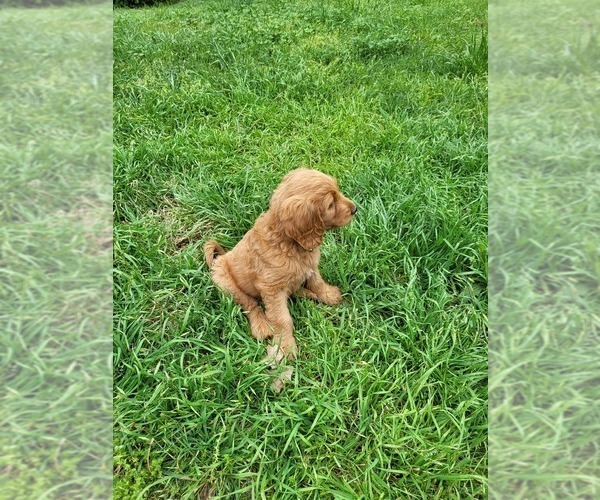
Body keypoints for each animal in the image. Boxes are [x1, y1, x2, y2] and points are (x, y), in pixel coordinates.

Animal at [205, 168, 356, 360]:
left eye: (337, 191)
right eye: (330, 204)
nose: (355, 209)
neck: (288, 242)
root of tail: (221, 257)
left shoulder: (310, 266)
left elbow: (318, 282)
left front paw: (329, 295)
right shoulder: (272, 288)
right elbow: (282, 319)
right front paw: (286, 346)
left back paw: (308, 295)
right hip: (225, 282)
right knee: (249, 304)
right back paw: (262, 326)